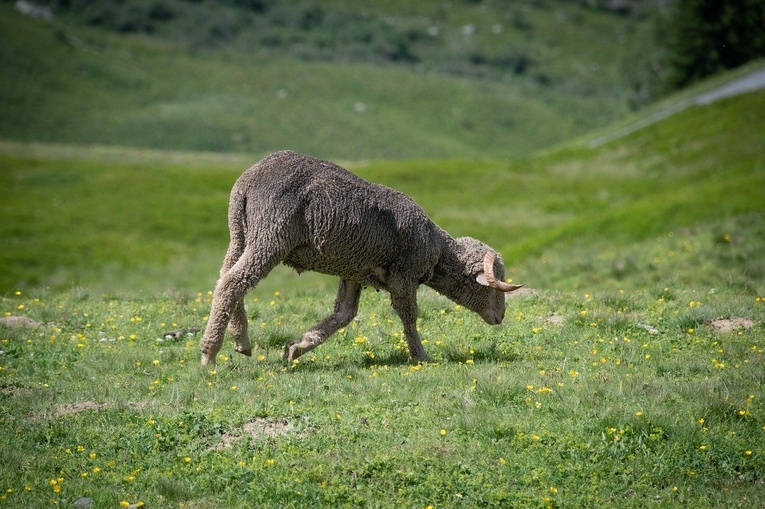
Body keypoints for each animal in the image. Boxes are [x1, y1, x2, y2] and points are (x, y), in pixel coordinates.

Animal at [197, 149, 524, 364]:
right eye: (495, 283)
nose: (501, 316)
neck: (436, 251)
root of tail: (247, 181)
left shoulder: (354, 273)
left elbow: (343, 315)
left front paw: (298, 347)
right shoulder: (403, 277)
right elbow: (409, 317)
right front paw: (421, 355)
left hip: (241, 233)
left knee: (225, 276)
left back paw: (240, 340)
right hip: (270, 234)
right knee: (234, 282)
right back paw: (209, 353)